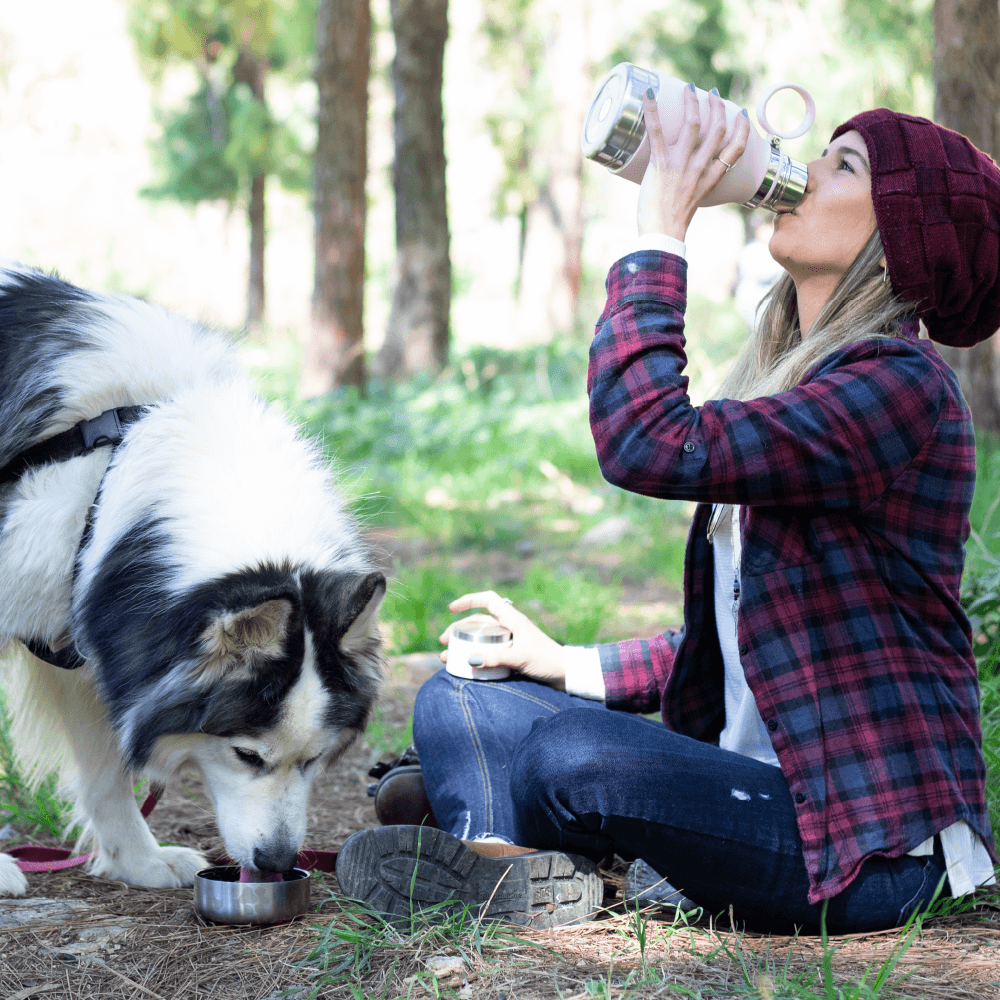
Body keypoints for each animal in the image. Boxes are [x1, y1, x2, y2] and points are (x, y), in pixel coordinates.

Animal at [0, 266, 384, 900]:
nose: (276, 862)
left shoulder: (93, 641)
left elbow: (107, 771)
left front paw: (140, 861)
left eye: (313, 760)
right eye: (247, 755)